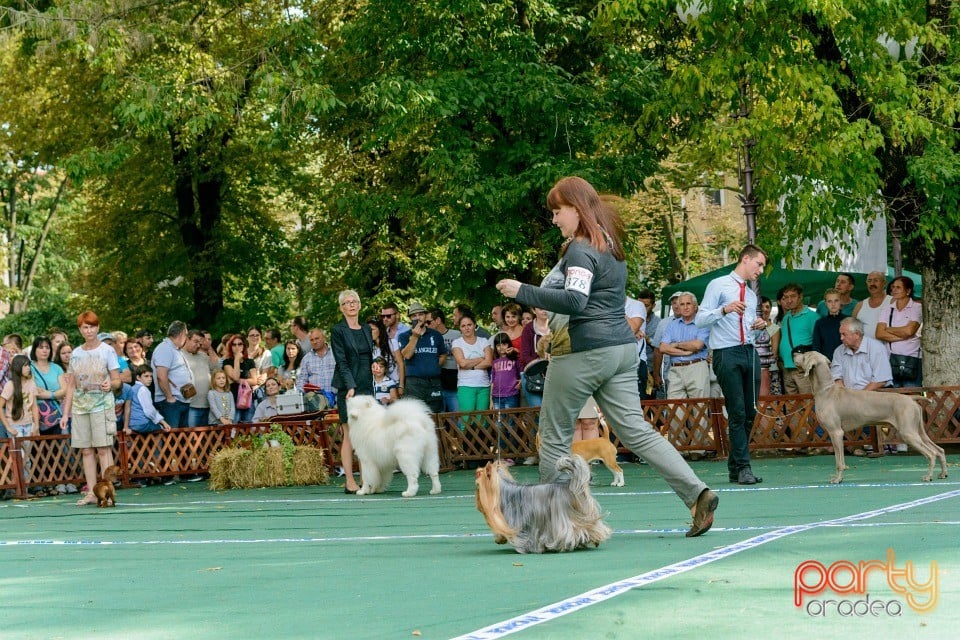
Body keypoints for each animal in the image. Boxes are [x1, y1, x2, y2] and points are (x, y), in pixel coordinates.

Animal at [474, 456, 616, 556]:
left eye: (478, 486)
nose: (477, 503)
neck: (504, 491)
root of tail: (570, 487)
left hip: (562, 521)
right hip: (585, 514)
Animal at [792, 350, 948, 484]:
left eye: (804, 355)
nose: (793, 353)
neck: (826, 390)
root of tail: (911, 398)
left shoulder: (836, 433)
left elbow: (839, 462)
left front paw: (837, 479)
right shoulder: (836, 434)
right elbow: (841, 460)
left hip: (908, 433)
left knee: (931, 453)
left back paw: (928, 476)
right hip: (918, 431)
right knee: (939, 450)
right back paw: (943, 473)